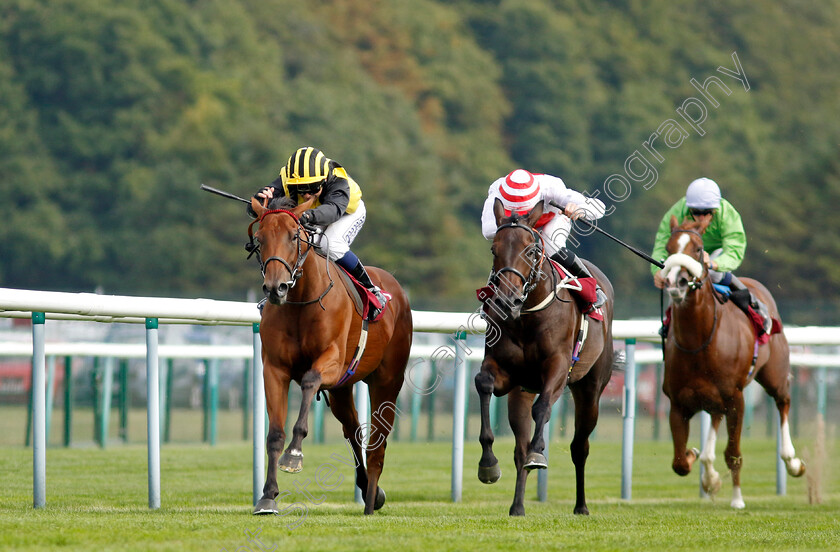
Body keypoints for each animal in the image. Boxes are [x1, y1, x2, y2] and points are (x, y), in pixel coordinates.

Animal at [246, 196, 414, 516]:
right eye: (259, 239)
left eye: (294, 236)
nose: (276, 288)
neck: (301, 302)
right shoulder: (274, 369)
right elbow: (274, 434)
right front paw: (268, 496)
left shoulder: (332, 363)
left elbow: (310, 380)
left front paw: (294, 454)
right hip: (341, 390)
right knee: (353, 431)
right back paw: (370, 489)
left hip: (387, 380)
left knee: (378, 440)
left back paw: (370, 500)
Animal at [476, 199, 612, 516]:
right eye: (494, 249)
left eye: (530, 250)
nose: (506, 301)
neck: (527, 315)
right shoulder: (504, 372)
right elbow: (483, 383)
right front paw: (488, 464)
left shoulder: (558, 368)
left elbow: (543, 408)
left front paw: (539, 453)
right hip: (520, 394)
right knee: (519, 450)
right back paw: (517, 506)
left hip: (590, 390)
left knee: (580, 447)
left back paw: (581, 506)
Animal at [660, 215, 804, 508]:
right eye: (668, 249)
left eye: (698, 249)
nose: (676, 283)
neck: (699, 343)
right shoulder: (678, 404)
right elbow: (680, 462)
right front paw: (698, 461)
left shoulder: (736, 399)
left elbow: (733, 453)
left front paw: (737, 499)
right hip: (714, 399)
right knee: (714, 425)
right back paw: (709, 473)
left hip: (773, 375)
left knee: (783, 402)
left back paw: (792, 460)